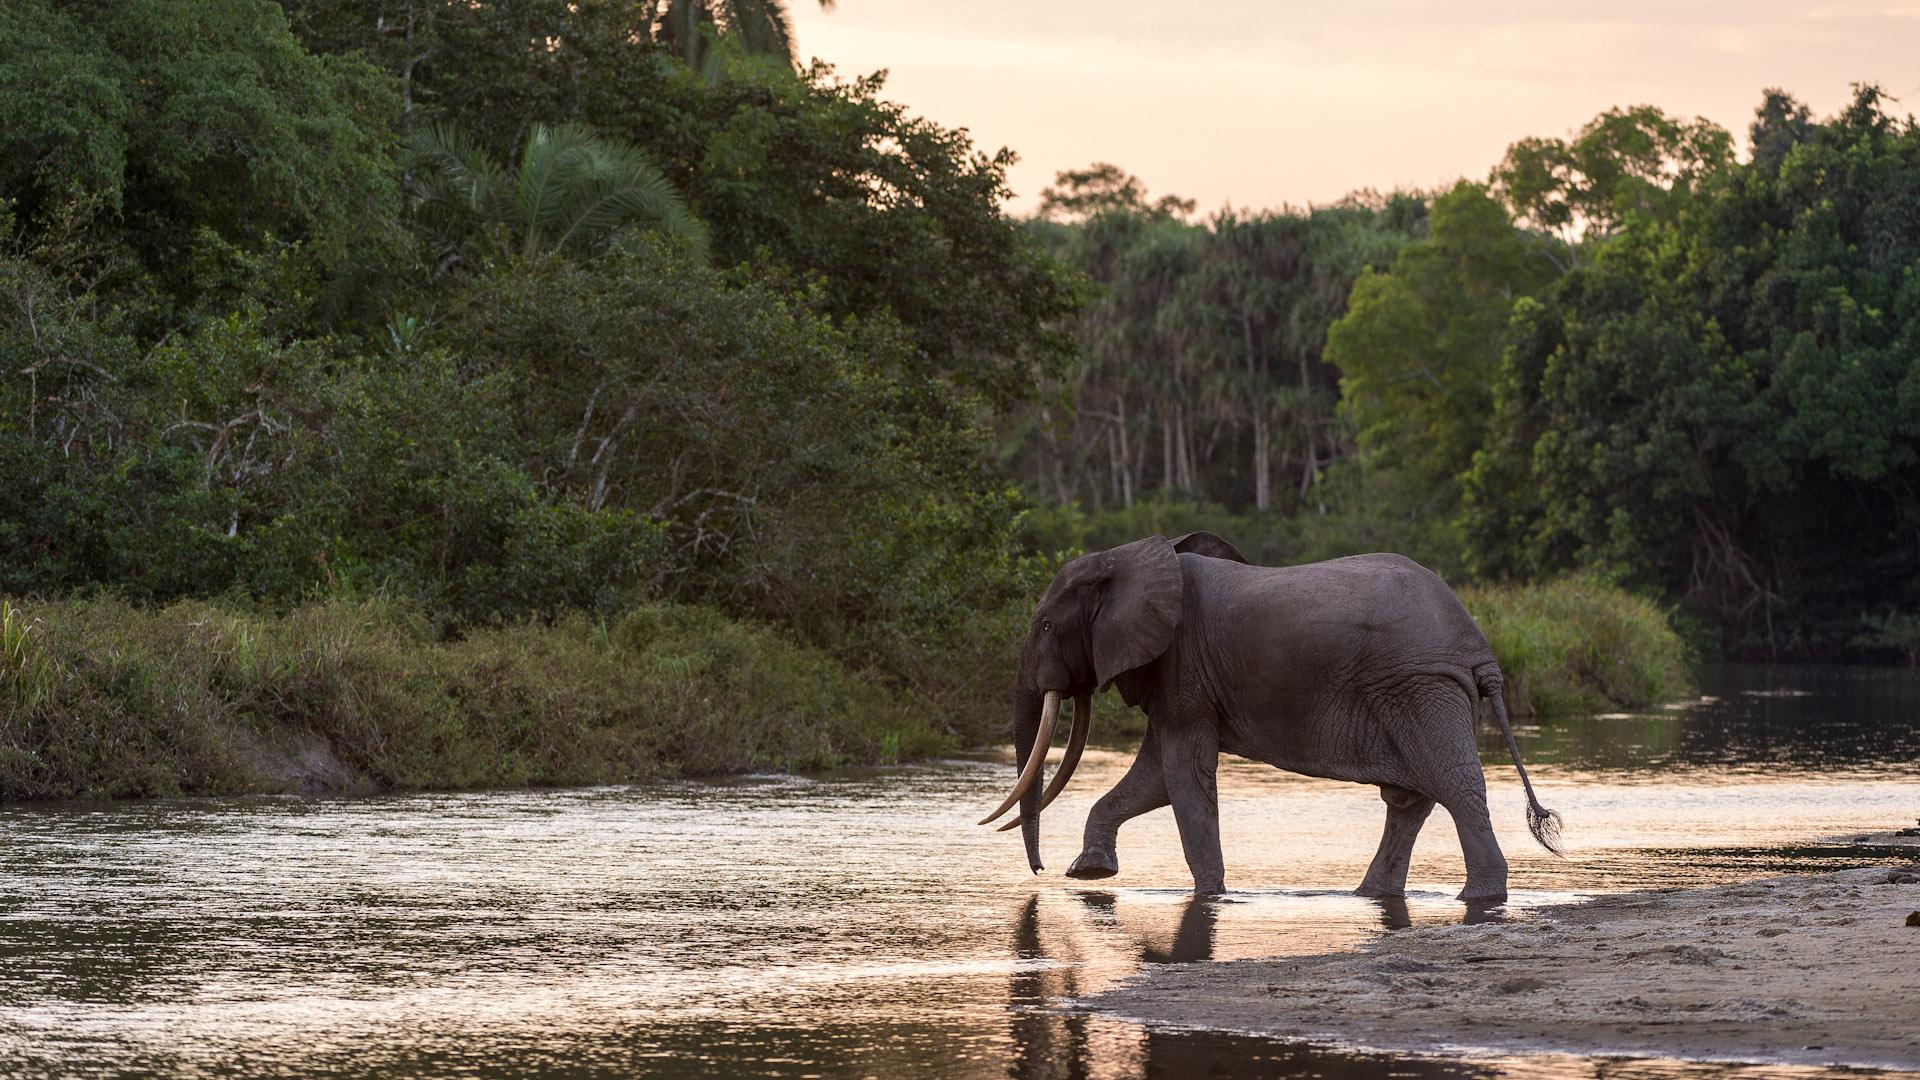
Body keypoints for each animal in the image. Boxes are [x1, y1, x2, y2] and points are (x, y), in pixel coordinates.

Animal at [978, 532, 1561, 901]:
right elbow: (1156, 777)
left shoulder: (1182, 665)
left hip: (1422, 687)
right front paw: (1091, 873)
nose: (1040, 871)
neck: (1127, 556)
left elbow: (1183, 777)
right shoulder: (1174, 675)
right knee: (1411, 796)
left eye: (1046, 626)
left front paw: (1210, 895)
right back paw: (1369, 893)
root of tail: (1479, 648)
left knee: (1451, 784)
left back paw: (1479, 896)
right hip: (1417, 691)